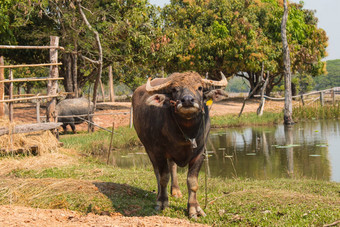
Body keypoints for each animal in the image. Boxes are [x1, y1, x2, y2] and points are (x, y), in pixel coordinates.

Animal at [131, 71, 227, 218]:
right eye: (175, 90)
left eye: (200, 87)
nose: (187, 100)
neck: (186, 131)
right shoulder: (158, 151)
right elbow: (163, 177)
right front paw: (162, 202)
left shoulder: (200, 152)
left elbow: (192, 181)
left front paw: (194, 208)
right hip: (148, 148)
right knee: (157, 171)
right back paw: (159, 194)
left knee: (172, 166)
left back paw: (175, 191)